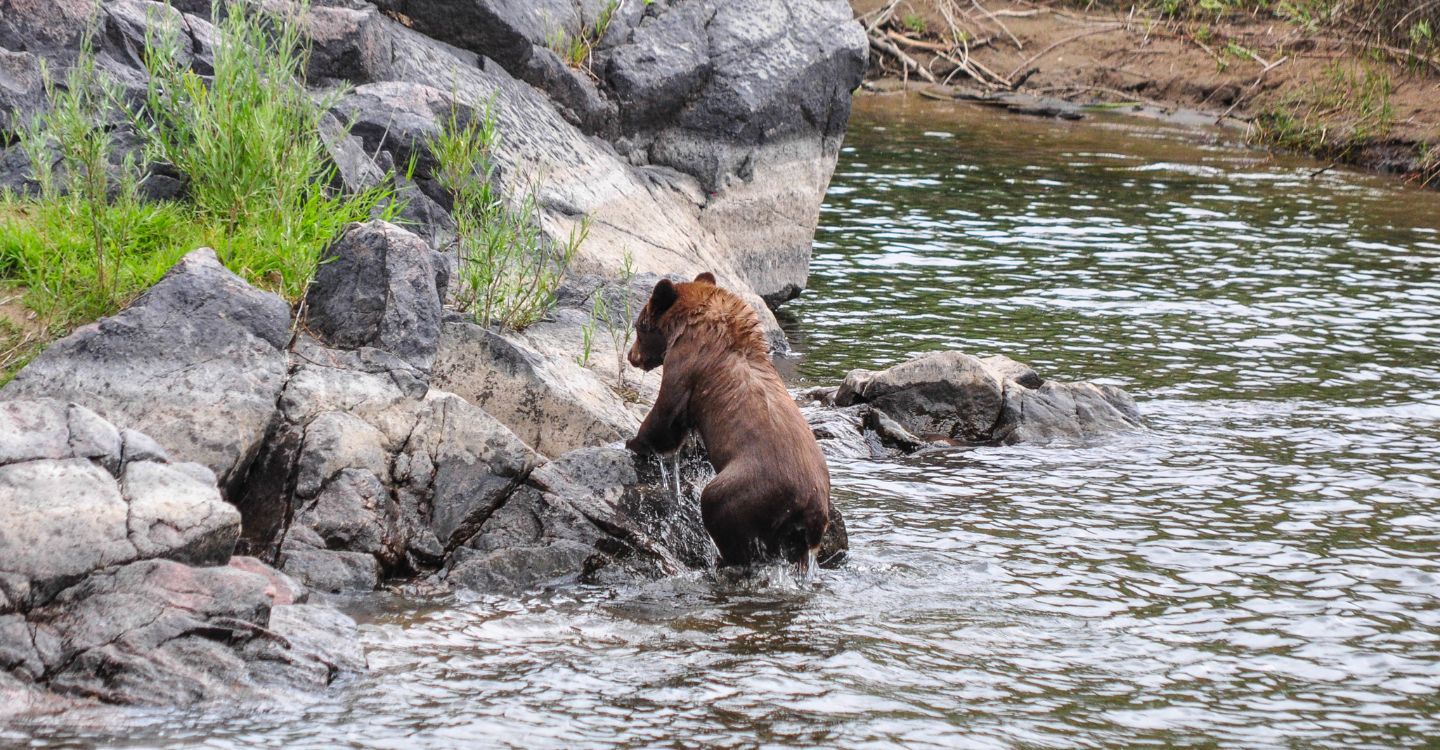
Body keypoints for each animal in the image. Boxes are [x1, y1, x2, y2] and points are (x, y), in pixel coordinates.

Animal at [625, 272, 831, 570]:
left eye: (640, 326)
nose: (631, 356)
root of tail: (810, 505)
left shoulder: (687, 362)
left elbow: (667, 412)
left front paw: (635, 442)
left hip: (748, 487)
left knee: (718, 507)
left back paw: (724, 558)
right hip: (801, 529)